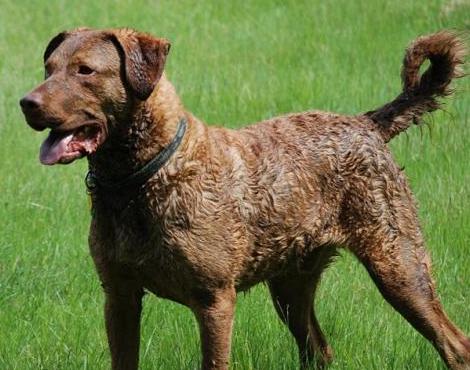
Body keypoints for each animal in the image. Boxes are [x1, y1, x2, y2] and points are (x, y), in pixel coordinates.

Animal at [20, 28, 468, 370]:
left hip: (399, 264)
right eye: (48, 67)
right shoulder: (119, 296)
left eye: (85, 70)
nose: (27, 103)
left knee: (455, 345)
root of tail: (366, 124)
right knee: (319, 350)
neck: (143, 180)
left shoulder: (214, 300)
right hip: (291, 285)